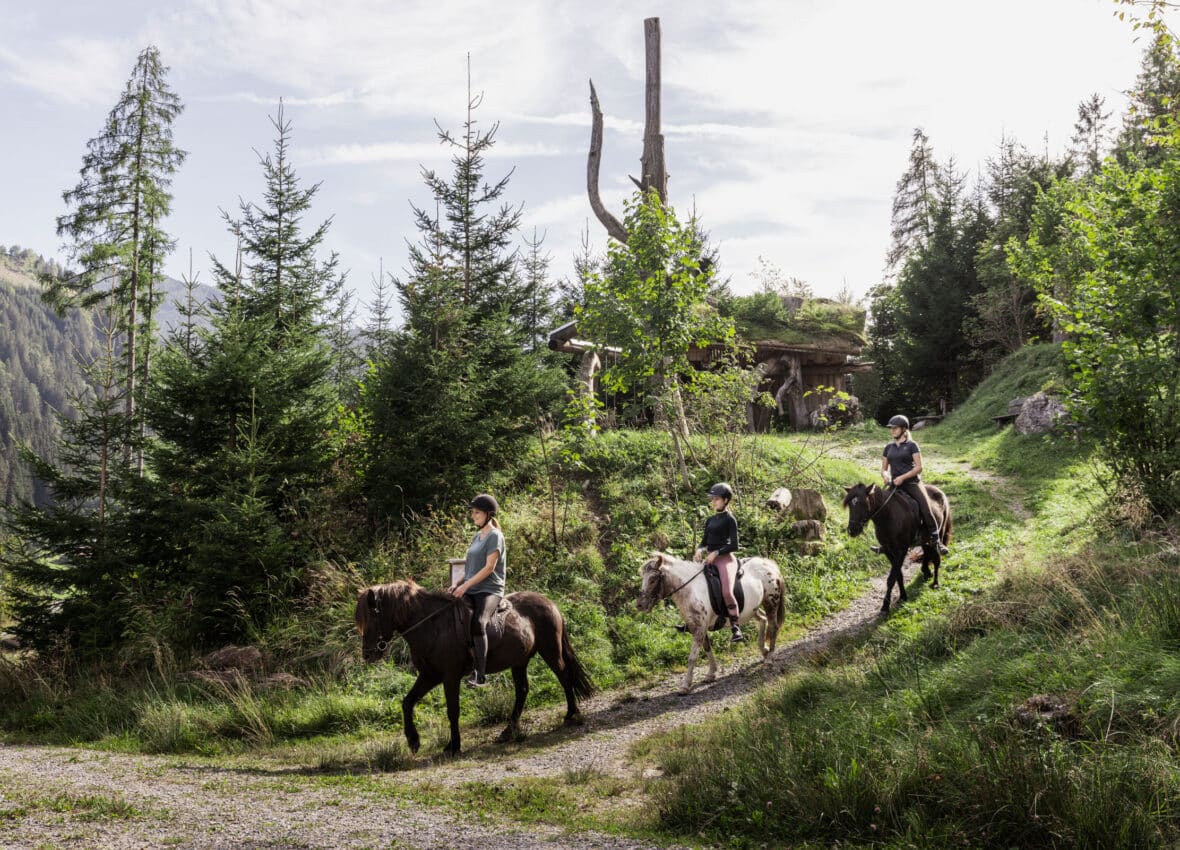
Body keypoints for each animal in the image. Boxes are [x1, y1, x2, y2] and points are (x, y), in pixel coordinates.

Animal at [349, 585, 590, 755]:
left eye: (372, 616)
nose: (368, 655)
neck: (432, 626)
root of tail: (550, 602)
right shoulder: (430, 676)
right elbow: (407, 702)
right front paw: (413, 741)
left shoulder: (450, 676)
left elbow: (452, 710)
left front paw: (453, 746)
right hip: (519, 661)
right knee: (522, 691)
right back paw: (508, 731)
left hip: (550, 650)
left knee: (564, 676)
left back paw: (571, 714)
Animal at [637, 550, 783, 698]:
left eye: (653, 579)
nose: (640, 605)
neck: (690, 589)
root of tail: (767, 563)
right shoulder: (698, 627)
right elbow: (707, 649)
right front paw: (711, 674)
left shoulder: (700, 628)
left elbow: (692, 657)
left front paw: (685, 685)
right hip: (752, 609)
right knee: (763, 619)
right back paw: (764, 650)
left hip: (771, 603)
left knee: (773, 627)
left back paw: (769, 657)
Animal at [844, 481, 953, 613]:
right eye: (850, 505)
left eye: (863, 503)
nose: (852, 530)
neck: (888, 516)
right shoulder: (888, 551)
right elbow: (898, 575)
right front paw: (903, 596)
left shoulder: (901, 551)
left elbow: (891, 579)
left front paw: (885, 606)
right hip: (925, 540)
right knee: (927, 553)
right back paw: (926, 572)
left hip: (939, 532)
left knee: (936, 558)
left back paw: (935, 583)